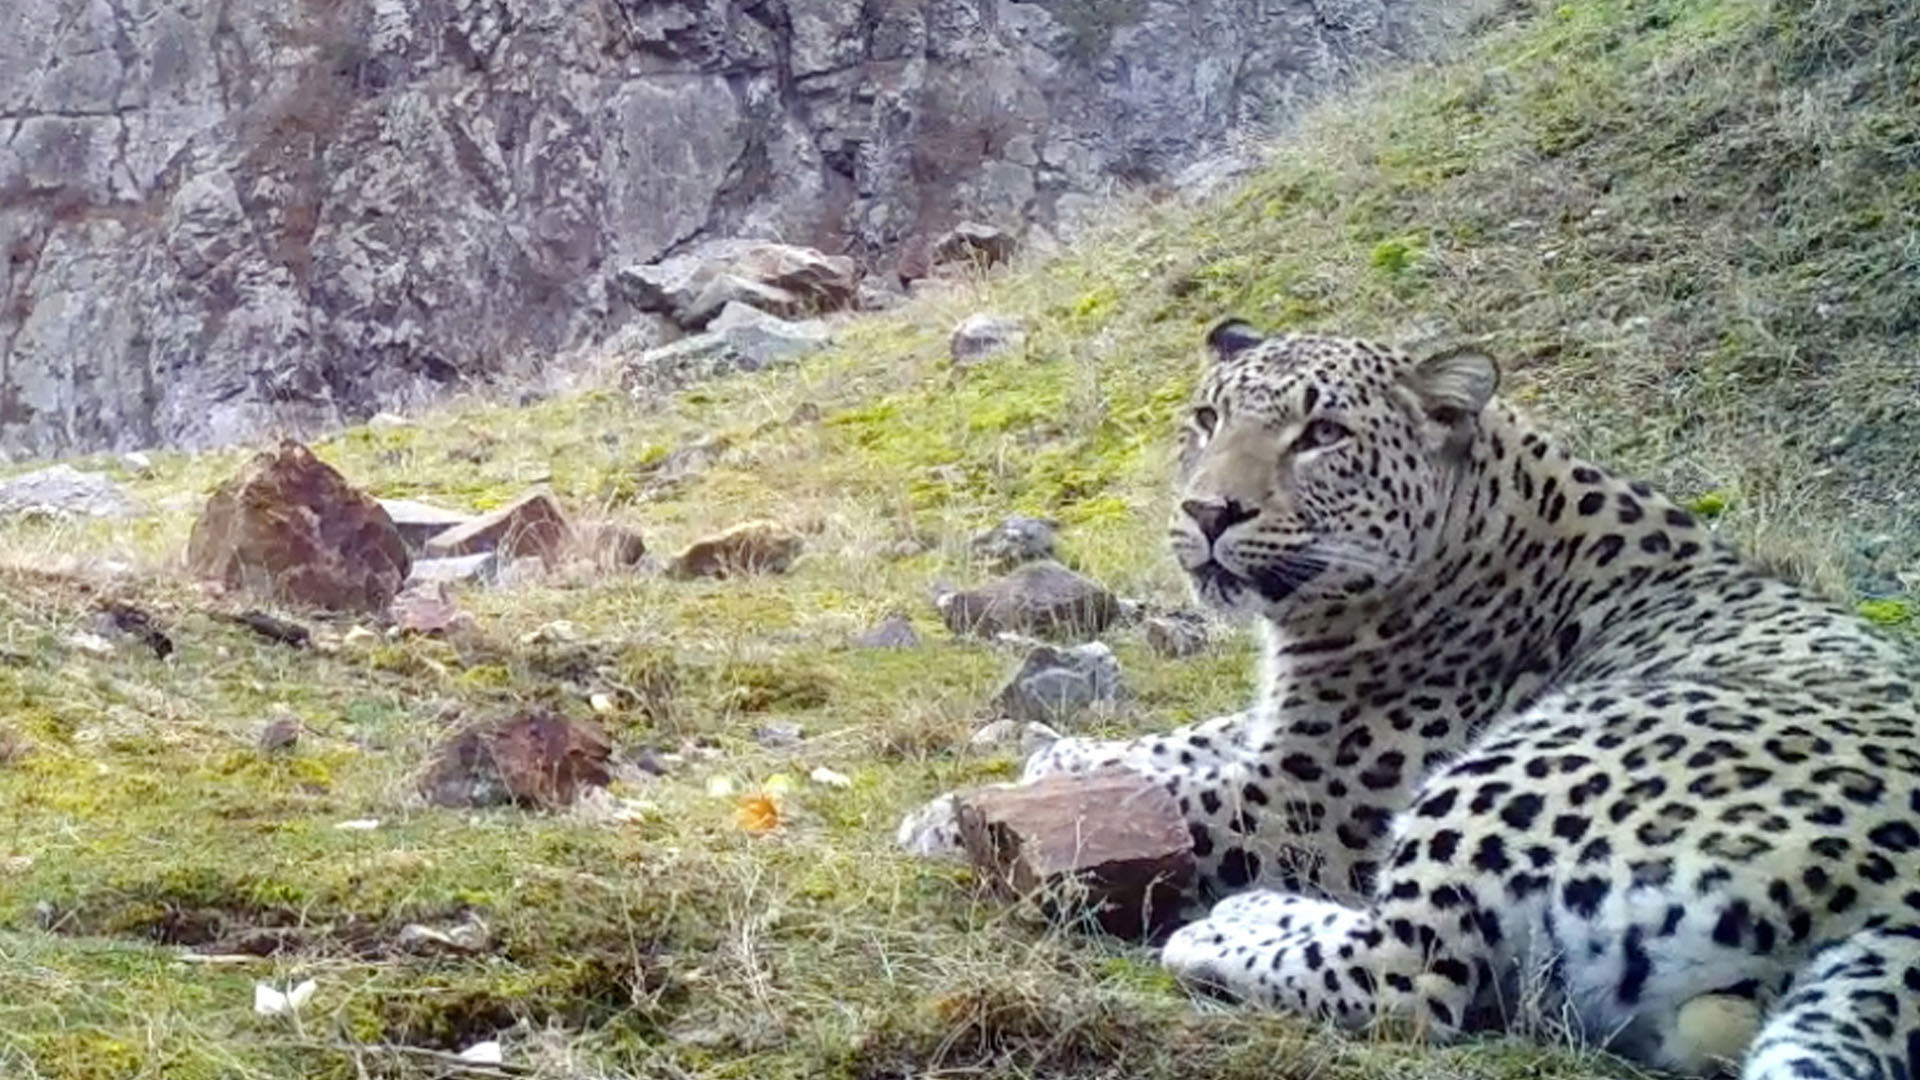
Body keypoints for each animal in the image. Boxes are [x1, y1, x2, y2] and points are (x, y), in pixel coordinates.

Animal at [898, 319, 1920, 1076]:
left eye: (1323, 437)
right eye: (1206, 417)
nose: (1206, 512)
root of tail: (1899, 917)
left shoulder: (1311, 797)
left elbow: (1184, 791)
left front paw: (949, 820)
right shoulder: (1281, 731)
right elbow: (1177, 743)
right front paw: (1054, 756)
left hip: (1524, 766)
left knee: (1412, 975)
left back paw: (1232, 924)